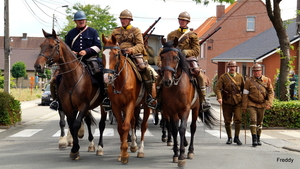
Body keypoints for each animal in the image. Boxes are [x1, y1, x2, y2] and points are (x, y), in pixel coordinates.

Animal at [34, 29, 106, 160]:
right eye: (41, 45)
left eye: (51, 46)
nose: (37, 66)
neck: (73, 78)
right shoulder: (67, 106)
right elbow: (69, 125)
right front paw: (72, 147)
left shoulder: (83, 105)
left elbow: (76, 124)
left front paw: (75, 148)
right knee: (87, 121)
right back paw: (90, 144)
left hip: (103, 105)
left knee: (102, 124)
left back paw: (100, 147)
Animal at [101, 33, 152, 164]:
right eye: (103, 55)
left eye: (116, 54)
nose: (107, 77)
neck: (120, 81)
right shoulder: (116, 106)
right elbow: (121, 127)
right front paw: (121, 153)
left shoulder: (129, 103)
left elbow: (125, 126)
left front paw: (124, 154)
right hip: (135, 106)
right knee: (133, 122)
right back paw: (133, 145)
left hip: (146, 105)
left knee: (143, 126)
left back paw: (140, 150)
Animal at [159, 38, 216, 168]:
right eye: (162, 56)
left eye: (175, 57)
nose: (167, 81)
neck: (176, 86)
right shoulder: (172, 110)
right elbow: (175, 129)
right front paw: (176, 154)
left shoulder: (185, 109)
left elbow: (182, 129)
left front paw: (181, 156)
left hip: (195, 109)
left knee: (192, 127)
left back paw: (190, 151)